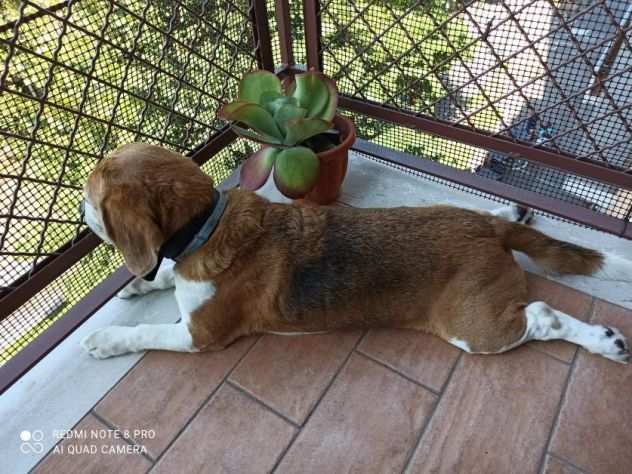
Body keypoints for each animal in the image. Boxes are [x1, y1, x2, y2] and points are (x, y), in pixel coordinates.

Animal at [81, 143, 628, 362]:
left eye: (90, 195)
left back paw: (603, 341)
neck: (207, 226)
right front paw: (143, 281)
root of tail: (486, 228)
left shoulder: (199, 335)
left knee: (543, 317)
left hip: (474, 329)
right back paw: (512, 210)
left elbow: (147, 332)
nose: (81, 215)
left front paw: (107, 339)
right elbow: (163, 276)